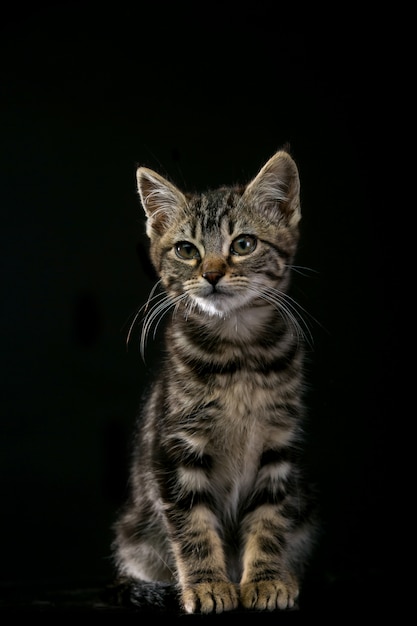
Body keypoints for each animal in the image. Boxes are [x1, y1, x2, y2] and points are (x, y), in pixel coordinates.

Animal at [112, 149, 316, 612]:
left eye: (243, 244)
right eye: (186, 250)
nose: (211, 273)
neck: (238, 354)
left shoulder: (279, 445)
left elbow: (269, 520)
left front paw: (266, 580)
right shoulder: (176, 449)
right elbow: (193, 526)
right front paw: (207, 586)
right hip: (135, 532)